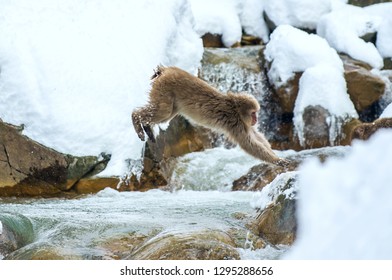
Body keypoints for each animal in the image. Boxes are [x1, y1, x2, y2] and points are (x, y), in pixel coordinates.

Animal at [133, 65, 290, 166]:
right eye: (253, 113)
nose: (256, 119)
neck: (234, 108)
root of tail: (166, 70)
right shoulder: (236, 124)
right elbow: (249, 144)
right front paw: (277, 161)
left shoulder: (244, 124)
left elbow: (257, 137)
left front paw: (275, 154)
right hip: (164, 88)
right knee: (163, 112)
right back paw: (136, 119)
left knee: (167, 115)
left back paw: (146, 127)